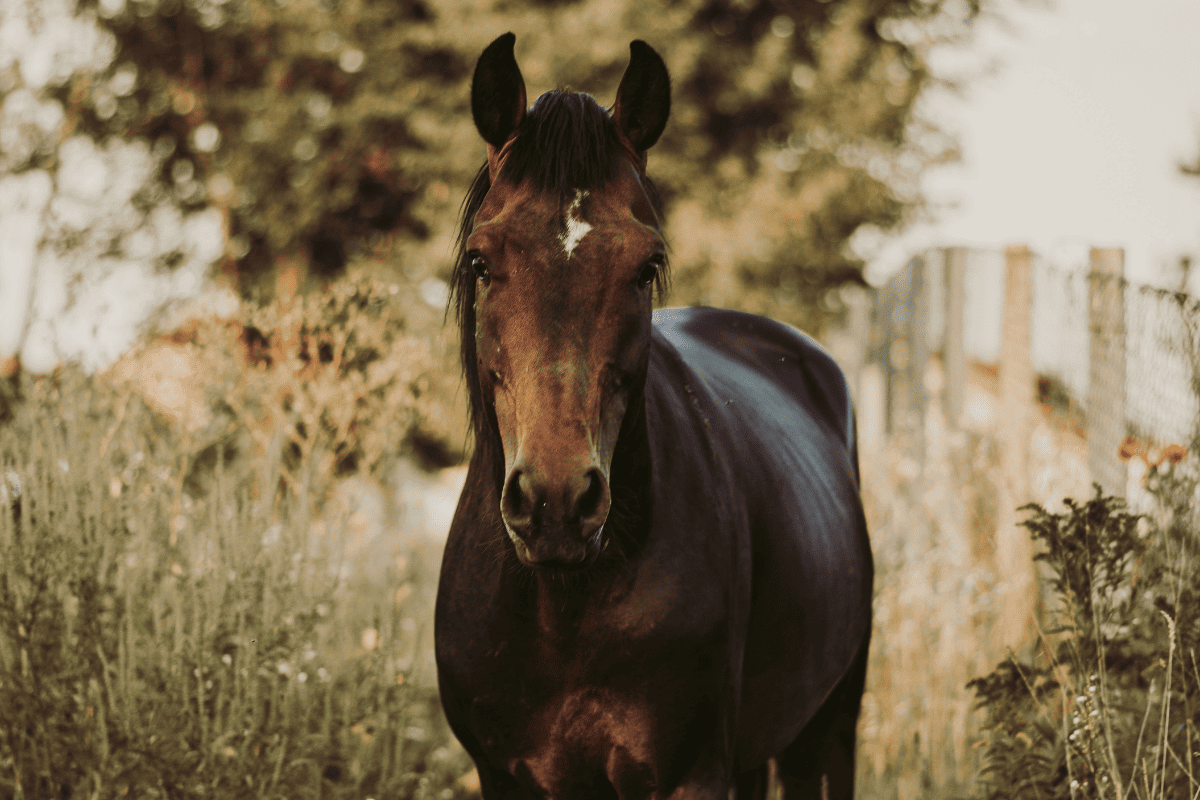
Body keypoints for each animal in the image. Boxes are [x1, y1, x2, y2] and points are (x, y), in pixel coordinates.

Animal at [434, 33, 873, 800]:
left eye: (646, 266)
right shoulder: (502, 776)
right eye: (481, 261)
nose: (555, 502)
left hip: (829, 727)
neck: (561, 607)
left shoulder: (692, 773)